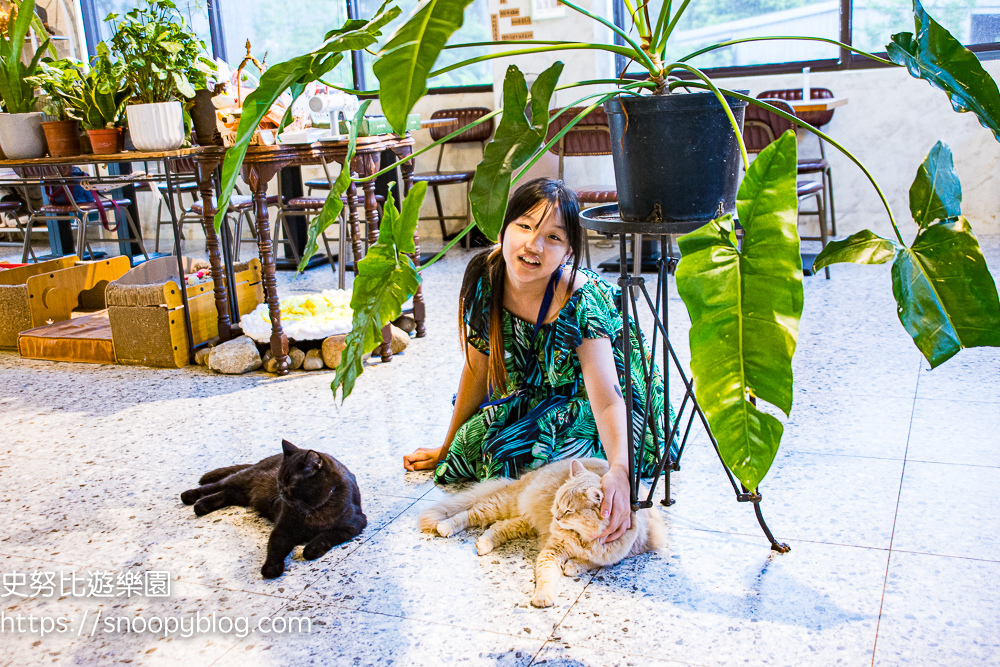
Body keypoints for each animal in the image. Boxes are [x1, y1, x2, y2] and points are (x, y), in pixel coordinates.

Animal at [180, 438, 368, 580]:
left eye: (291, 483)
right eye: (280, 479)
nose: (281, 491)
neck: (313, 509)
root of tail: (261, 461)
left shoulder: (354, 525)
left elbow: (326, 536)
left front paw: (311, 549)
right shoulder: (283, 528)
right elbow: (275, 546)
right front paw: (271, 568)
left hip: (241, 494)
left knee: (225, 494)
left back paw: (201, 506)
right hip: (242, 478)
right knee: (217, 485)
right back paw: (190, 496)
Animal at [420, 460, 664, 604]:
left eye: (568, 510)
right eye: (557, 504)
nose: (555, 517)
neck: (584, 539)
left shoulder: (620, 554)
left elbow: (594, 562)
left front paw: (574, 566)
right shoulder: (552, 551)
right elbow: (547, 576)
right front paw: (543, 597)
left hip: (523, 522)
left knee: (497, 528)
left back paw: (484, 544)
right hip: (503, 504)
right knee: (470, 514)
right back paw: (445, 527)